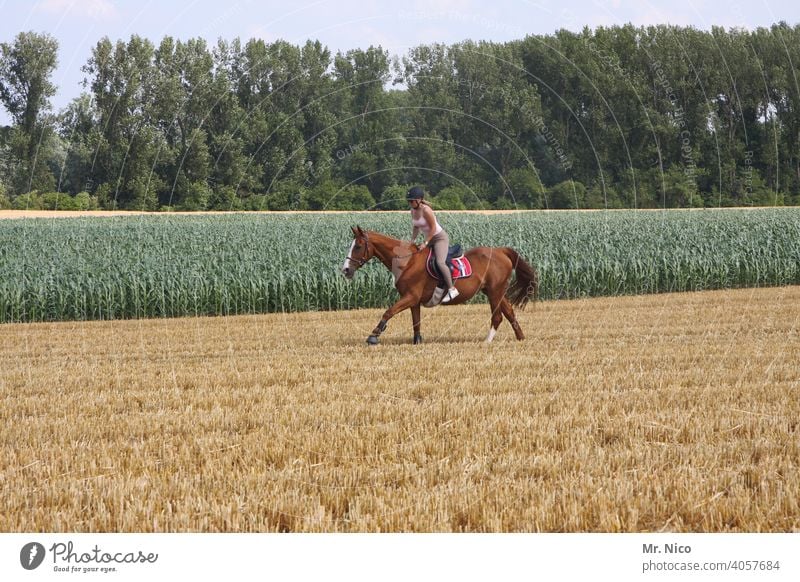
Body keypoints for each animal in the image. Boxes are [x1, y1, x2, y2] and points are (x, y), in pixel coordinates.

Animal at [340, 227, 540, 346]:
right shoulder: (413, 301)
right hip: (496, 291)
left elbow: (388, 312)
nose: (345, 270)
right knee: (509, 312)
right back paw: (520, 338)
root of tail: (501, 251)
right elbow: (416, 322)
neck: (407, 261)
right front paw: (417, 341)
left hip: (494, 291)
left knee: (497, 316)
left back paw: (487, 341)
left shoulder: (410, 297)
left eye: (358, 246)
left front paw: (373, 335)